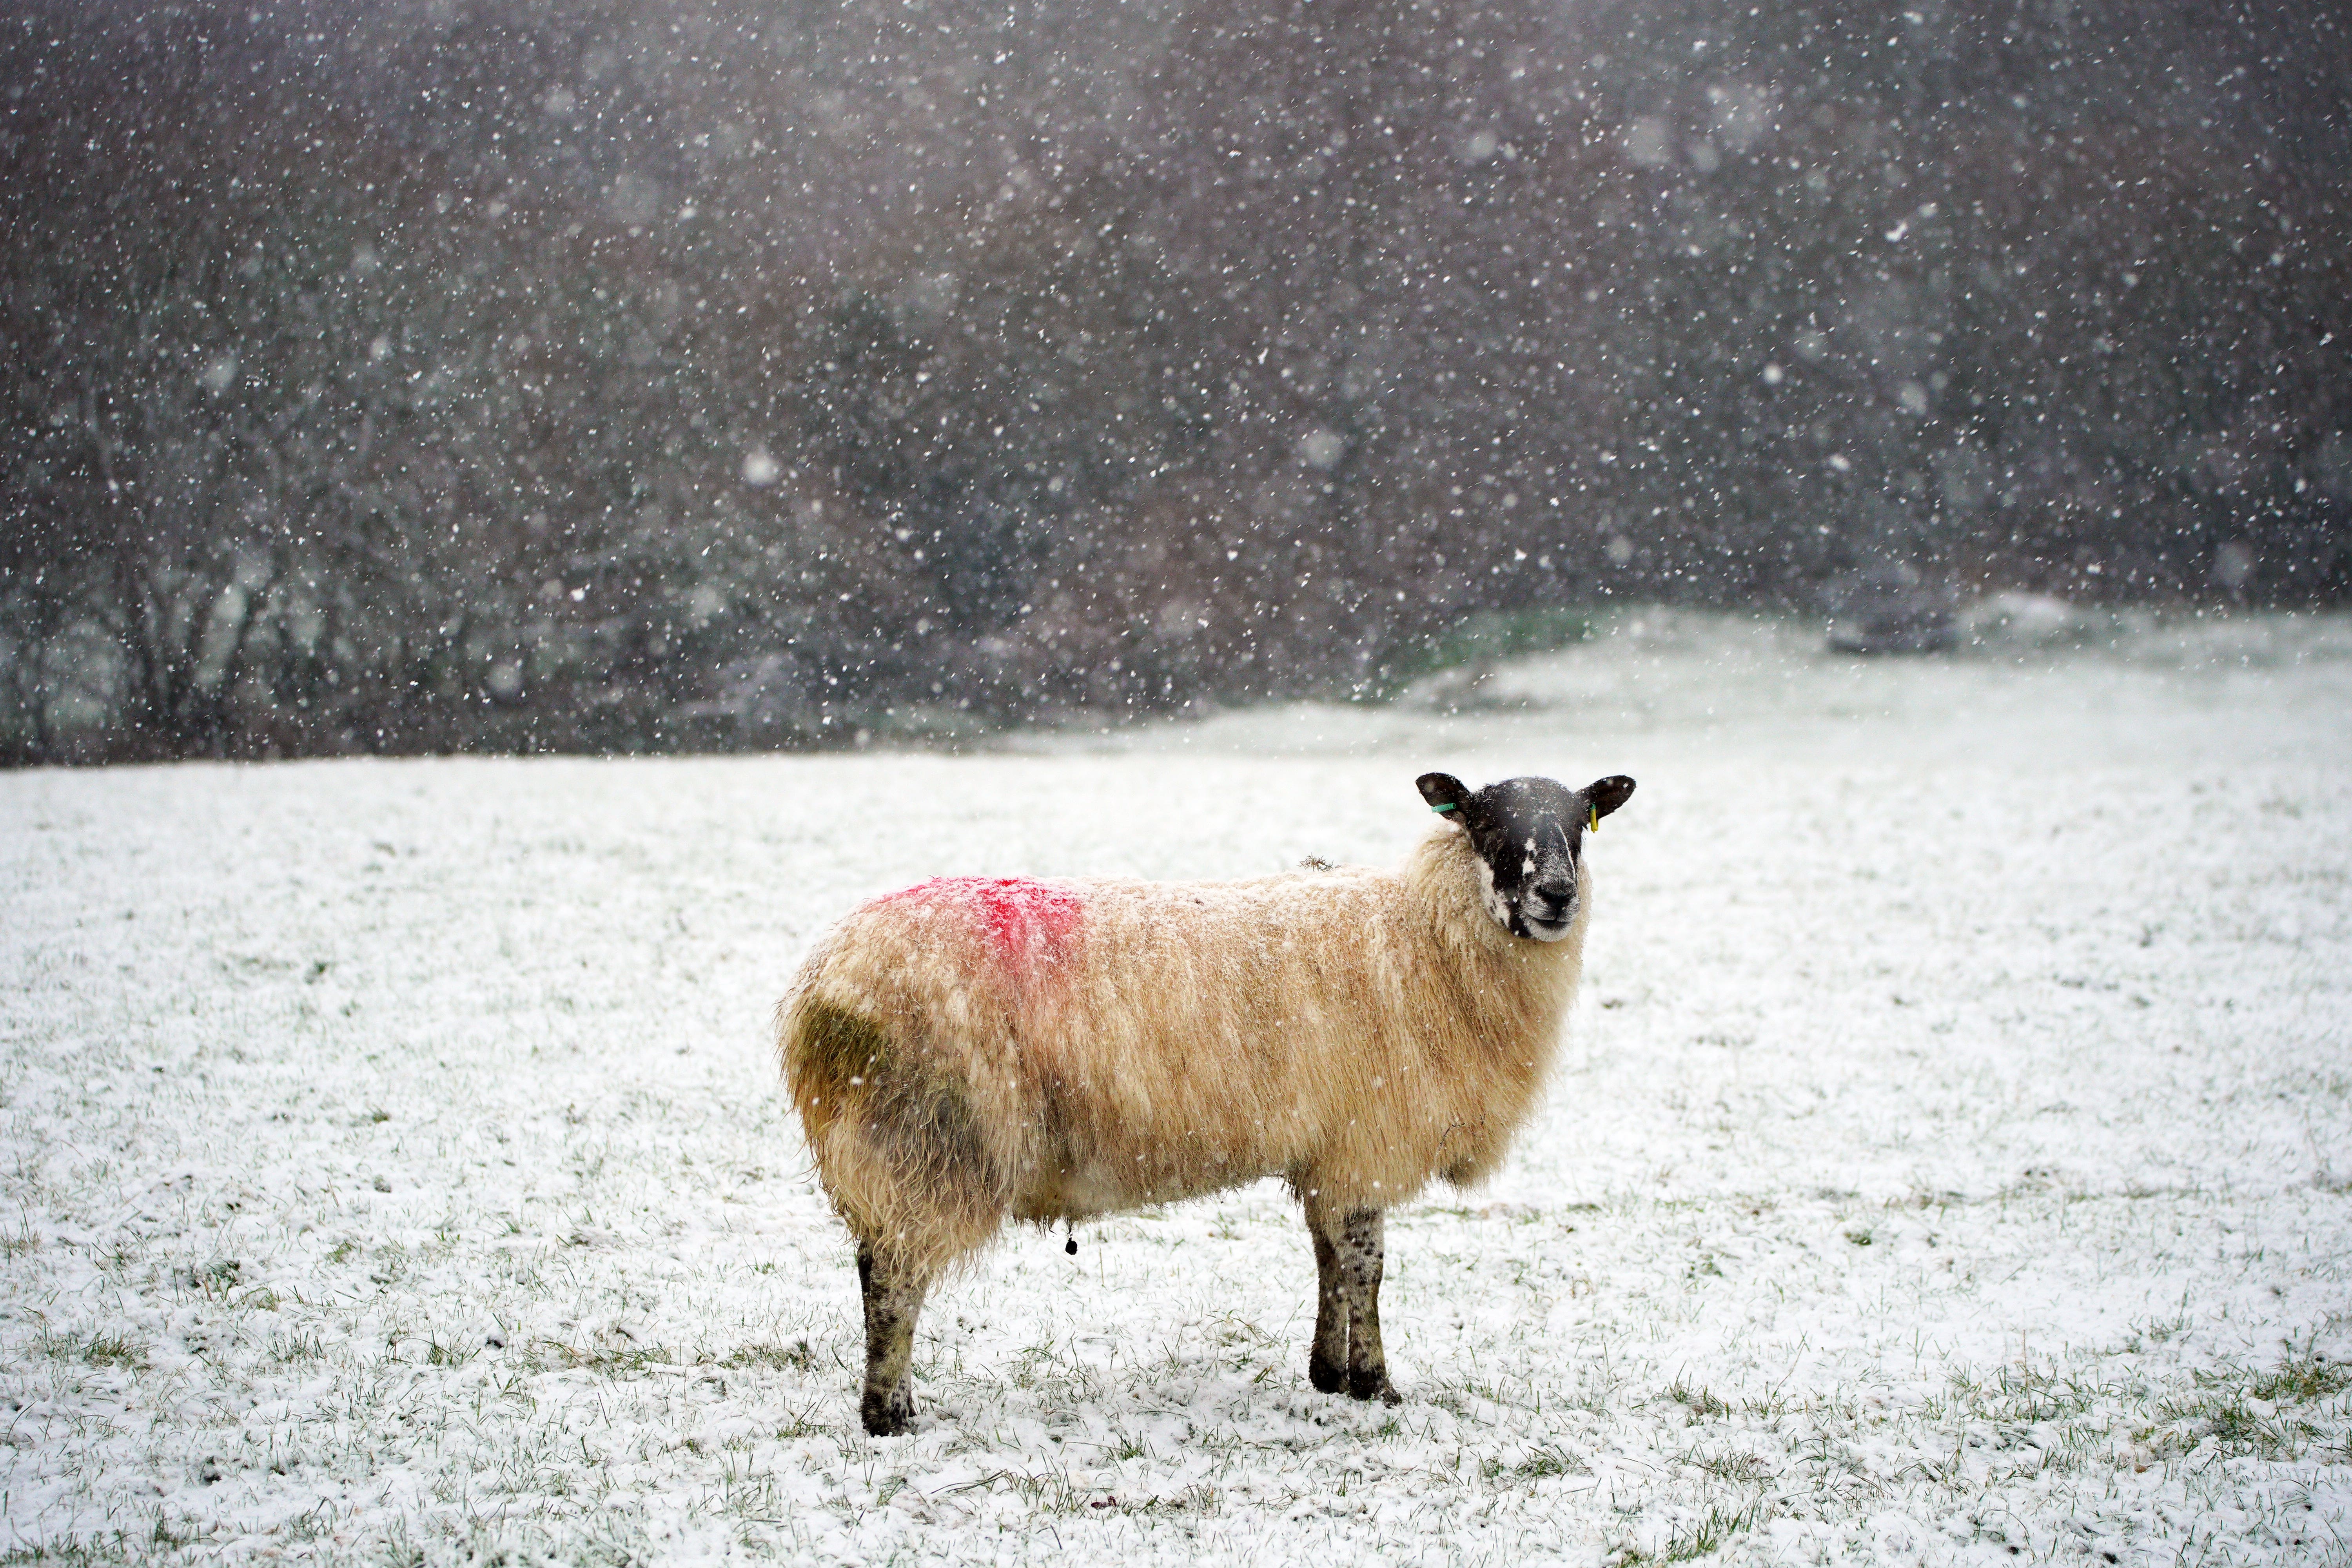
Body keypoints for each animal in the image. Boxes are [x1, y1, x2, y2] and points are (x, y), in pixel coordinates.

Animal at [781, 771, 1628, 1439]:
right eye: (1486, 822)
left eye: (1579, 826)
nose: (1557, 896)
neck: (1425, 935)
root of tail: (822, 988)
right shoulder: (1366, 1142)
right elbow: (1368, 1267)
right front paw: (1377, 1385)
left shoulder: (1328, 1148)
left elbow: (1328, 1258)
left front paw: (1329, 1374)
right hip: (926, 1140)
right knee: (891, 1278)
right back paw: (889, 1415)